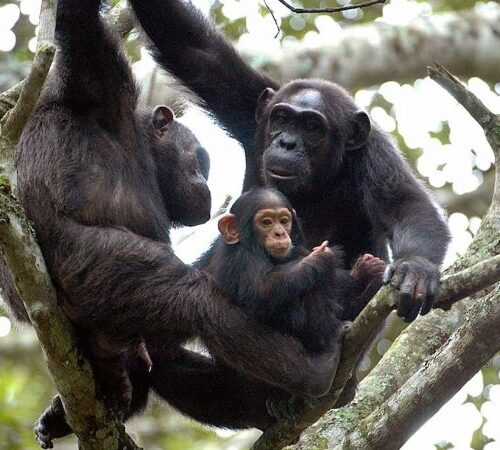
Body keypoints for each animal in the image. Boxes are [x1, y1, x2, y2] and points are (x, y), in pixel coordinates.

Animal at [11, 1, 346, 448]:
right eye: (200, 161)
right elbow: (81, 30)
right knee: (199, 303)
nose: (205, 185)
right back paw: (313, 373)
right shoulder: (107, 89)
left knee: (160, 357)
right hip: (94, 267)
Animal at [131, 0, 452, 324]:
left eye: (311, 126)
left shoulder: (374, 152)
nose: (287, 143)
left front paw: (417, 268)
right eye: (282, 118)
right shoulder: (251, 104)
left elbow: (406, 204)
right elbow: (195, 49)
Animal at [205, 187, 384, 356]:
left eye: (284, 221)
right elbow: (261, 289)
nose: (279, 233)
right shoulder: (243, 257)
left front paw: (362, 271)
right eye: (266, 222)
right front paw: (320, 257)